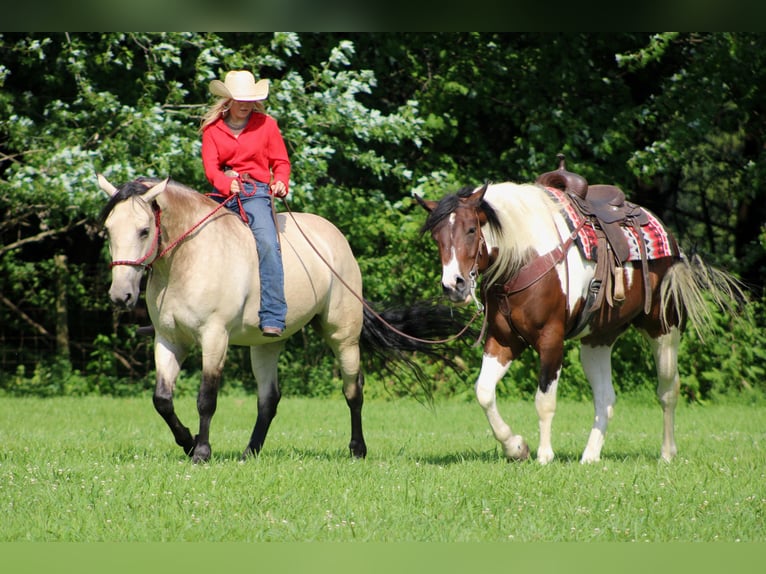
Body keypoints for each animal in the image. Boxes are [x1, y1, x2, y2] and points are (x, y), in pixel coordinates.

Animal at [97, 174, 468, 464]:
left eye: (144, 230)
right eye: (108, 230)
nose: (120, 296)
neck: (189, 259)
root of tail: (336, 240)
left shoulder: (214, 338)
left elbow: (206, 398)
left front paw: (201, 452)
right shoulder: (169, 340)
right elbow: (162, 400)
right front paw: (188, 443)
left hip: (343, 337)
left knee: (353, 390)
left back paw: (357, 450)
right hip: (265, 344)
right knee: (269, 399)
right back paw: (250, 452)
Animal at [420, 160, 744, 466]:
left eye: (471, 229)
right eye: (436, 237)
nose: (453, 285)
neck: (525, 256)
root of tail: (670, 239)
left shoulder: (551, 339)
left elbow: (544, 400)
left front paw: (544, 456)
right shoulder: (503, 339)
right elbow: (484, 392)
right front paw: (516, 448)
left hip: (664, 329)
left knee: (667, 390)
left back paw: (666, 453)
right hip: (597, 341)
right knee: (606, 399)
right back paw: (590, 456)